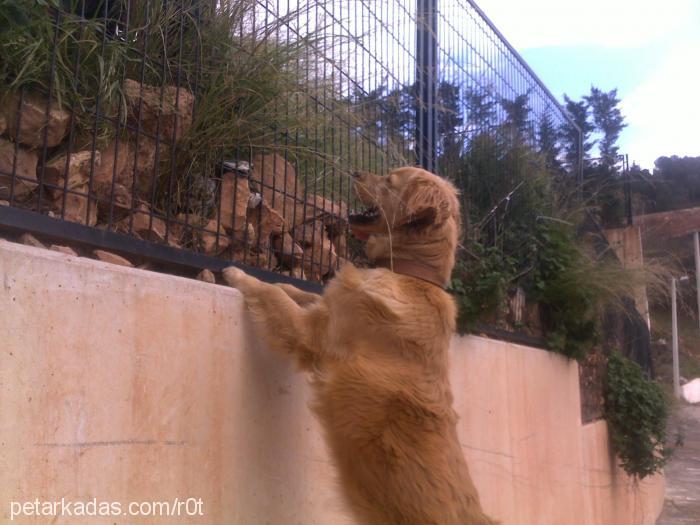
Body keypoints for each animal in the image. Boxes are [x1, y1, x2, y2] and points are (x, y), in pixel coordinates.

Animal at [221, 166, 494, 520]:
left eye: (390, 180)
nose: (356, 171)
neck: (408, 274)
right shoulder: (328, 309)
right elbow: (294, 290)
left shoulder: (311, 334)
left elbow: (273, 294)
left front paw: (239, 275)